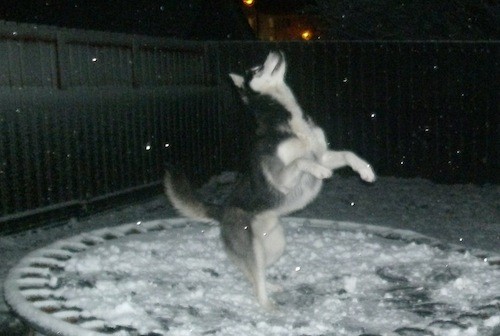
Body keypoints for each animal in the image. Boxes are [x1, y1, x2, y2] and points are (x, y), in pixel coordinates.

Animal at [164, 50, 376, 310]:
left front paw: (365, 170)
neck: (284, 117)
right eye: (256, 70)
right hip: (252, 246)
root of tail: (222, 210)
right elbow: (301, 161)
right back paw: (267, 304)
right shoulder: (281, 176)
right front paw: (319, 172)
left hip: (276, 245)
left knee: (254, 273)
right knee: (255, 275)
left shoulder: (323, 155)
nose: (276, 51)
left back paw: (270, 286)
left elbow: (347, 154)